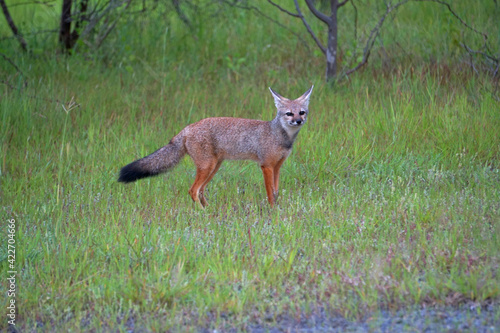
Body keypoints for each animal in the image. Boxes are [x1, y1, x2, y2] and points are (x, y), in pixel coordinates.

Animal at [118, 85, 312, 208]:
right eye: (289, 114)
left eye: (302, 112)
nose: (298, 121)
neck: (280, 135)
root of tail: (187, 128)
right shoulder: (266, 166)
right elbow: (270, 193)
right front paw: (273, 212)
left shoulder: (277, 167)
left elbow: (276, 191)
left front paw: (278, 209)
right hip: (207, 167)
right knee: (193, 190)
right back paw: (202, 214)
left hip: (213, 167)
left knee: (201, 191)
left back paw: (210, 211)